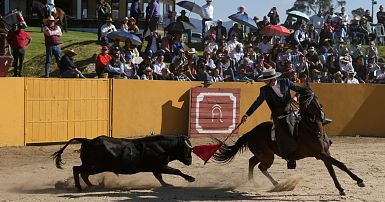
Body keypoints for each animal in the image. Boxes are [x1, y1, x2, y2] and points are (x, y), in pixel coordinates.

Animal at [52, 135, 195, 190]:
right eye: (187, 149)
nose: (190, 161)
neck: (162, 147)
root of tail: (87, 140)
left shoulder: (157, 168)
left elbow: (159, 177)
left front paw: (167, 184)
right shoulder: (161, 166)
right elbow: (176, 171)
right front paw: (191, 178)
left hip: (93, 166)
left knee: (82, 172)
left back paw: (92, 186)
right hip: (95, 166)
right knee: (77, 169)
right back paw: (79, 187)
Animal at [212, 88, 364, 196]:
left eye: (316, 99)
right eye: (307, 103)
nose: (321, 115)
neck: (311, 129)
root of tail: (251, 132)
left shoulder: (326, 153)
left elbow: (332, 170)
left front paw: (341, 189)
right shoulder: (320, 154)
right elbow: (340, 164)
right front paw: (359, 181)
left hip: (265, 154)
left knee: (252, 162)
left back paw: (260, 183)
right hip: (268, 156)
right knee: (261, 167)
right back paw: (275, 185)